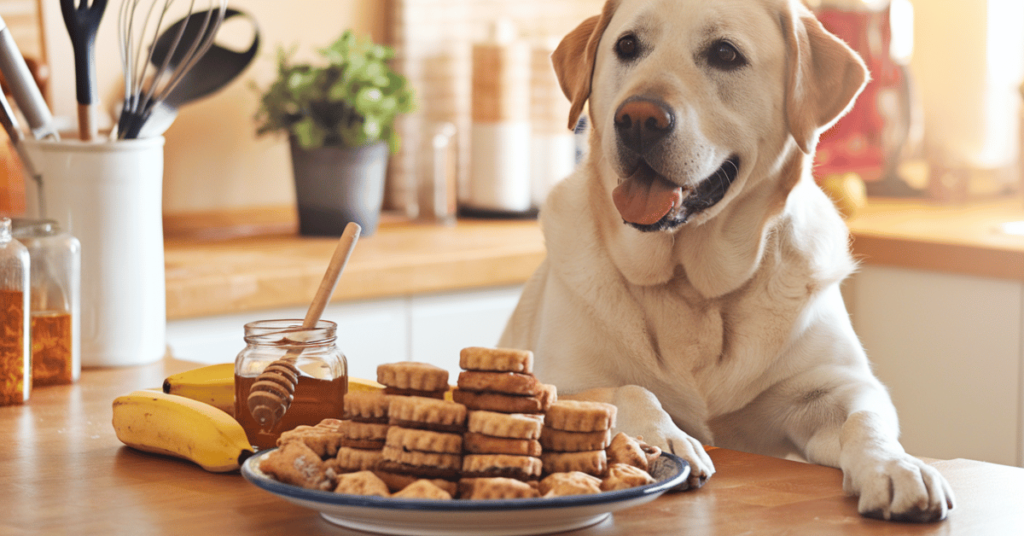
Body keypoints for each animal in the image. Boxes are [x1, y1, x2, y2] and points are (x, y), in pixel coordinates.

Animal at [499, 0, 954, 524]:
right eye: (627, 46)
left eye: (724, 53)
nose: (638, 118)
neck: (693, 286)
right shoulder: (560, 380)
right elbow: (627, 390)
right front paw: (668, 436)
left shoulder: (841, 388)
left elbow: (866, 421)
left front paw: (896, 467)